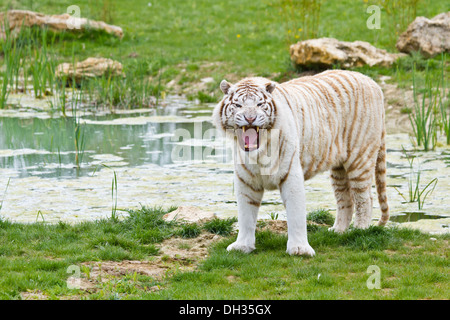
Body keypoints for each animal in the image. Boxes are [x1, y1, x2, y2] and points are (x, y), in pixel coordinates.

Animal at [213, 69, 388, 255]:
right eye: (238, 105)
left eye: (260, 104)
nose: (250, 118)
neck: (260, 153)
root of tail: (371, 81)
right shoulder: (246, 180)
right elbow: (245, 215)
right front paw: (242, 246)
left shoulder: (290, 175)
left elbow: (296, 214)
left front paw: (299, 249)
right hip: (338, 169)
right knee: (345, 199)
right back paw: (338, 231)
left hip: (360, 159)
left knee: (365, 198)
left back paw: (360, 230)